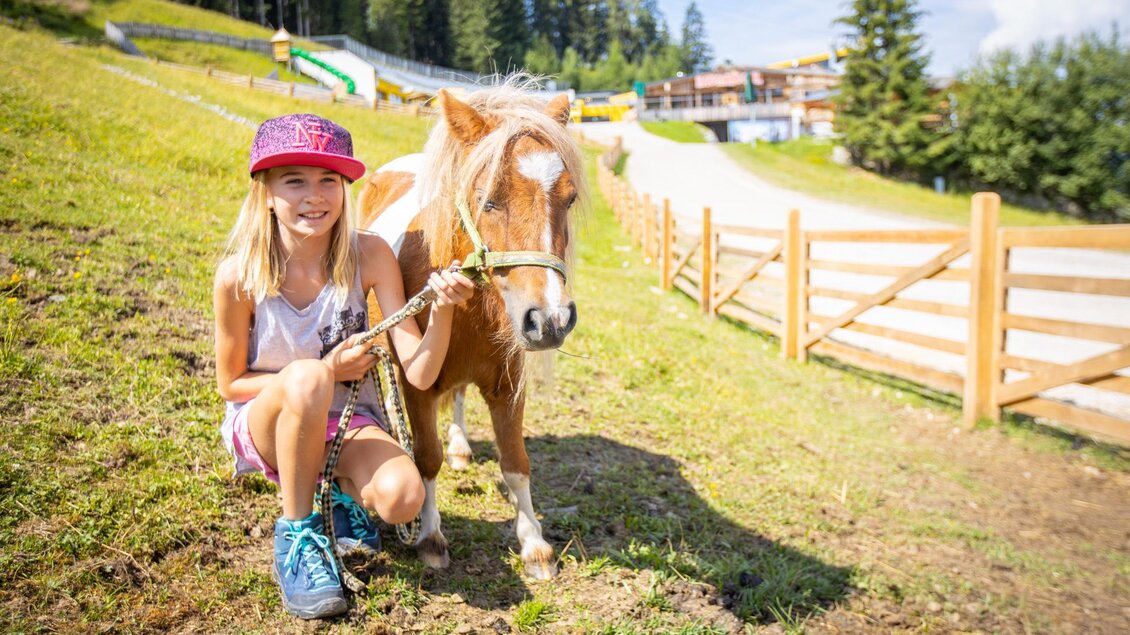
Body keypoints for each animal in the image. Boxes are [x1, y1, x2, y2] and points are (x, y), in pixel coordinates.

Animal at [357, 79, 585, 579]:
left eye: (570, 198)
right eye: (487, 199)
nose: (551, 320)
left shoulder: (508, 384)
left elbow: (516, 462)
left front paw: (534, 545)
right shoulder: (416, 383)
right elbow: (426, 458)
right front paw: (429, 536)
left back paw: (461, 446)